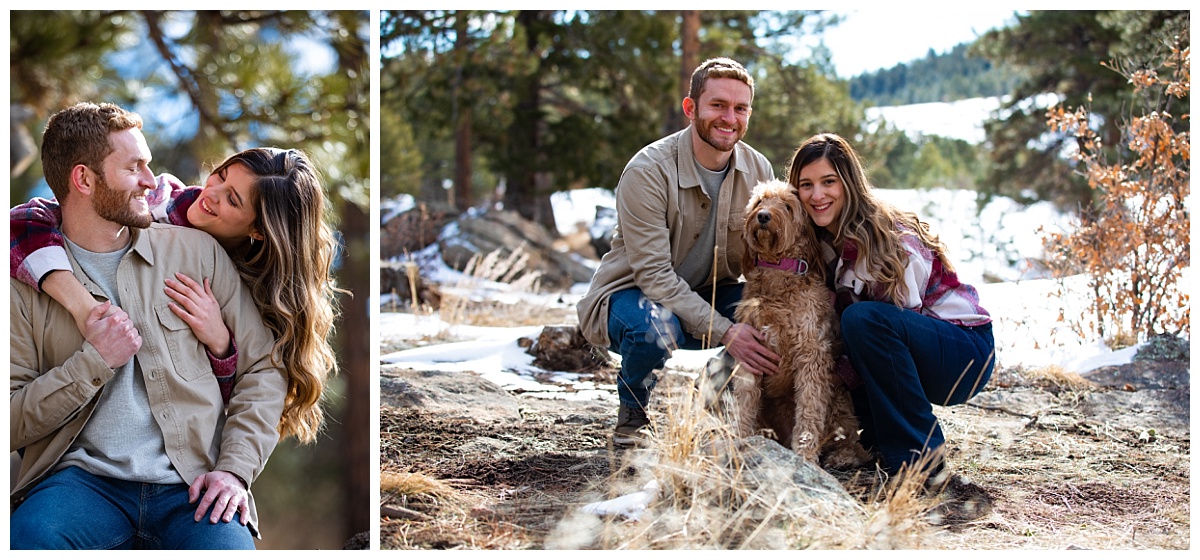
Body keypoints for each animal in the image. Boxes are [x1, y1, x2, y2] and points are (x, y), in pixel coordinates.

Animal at [729, 179, 873, 470]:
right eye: (760, 201)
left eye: (787, 206)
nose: (763, 216)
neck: (777, 269)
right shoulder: (749, 348)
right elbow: (745, 398)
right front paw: (739, 437)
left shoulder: (811, 353)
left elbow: (809, 408)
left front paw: (805, 454)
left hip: (839, 399)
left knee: (851, 438)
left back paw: (843, 455)